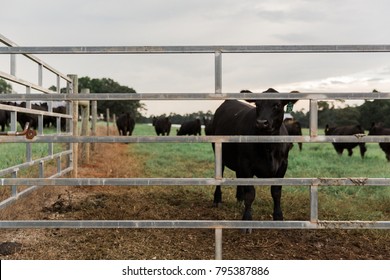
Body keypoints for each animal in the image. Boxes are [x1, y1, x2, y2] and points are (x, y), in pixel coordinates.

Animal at [210, 87, 298, 223]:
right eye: (257, 104)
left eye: (276, 105)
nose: (262, 123)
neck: (268, 148)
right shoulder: (246, 164)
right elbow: (250, 194)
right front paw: (247, 218)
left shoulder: (283, 164)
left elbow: (276, 192)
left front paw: (278, 216)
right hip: (219, 154)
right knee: (220, 174)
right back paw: (217, 199)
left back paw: (239, 199)